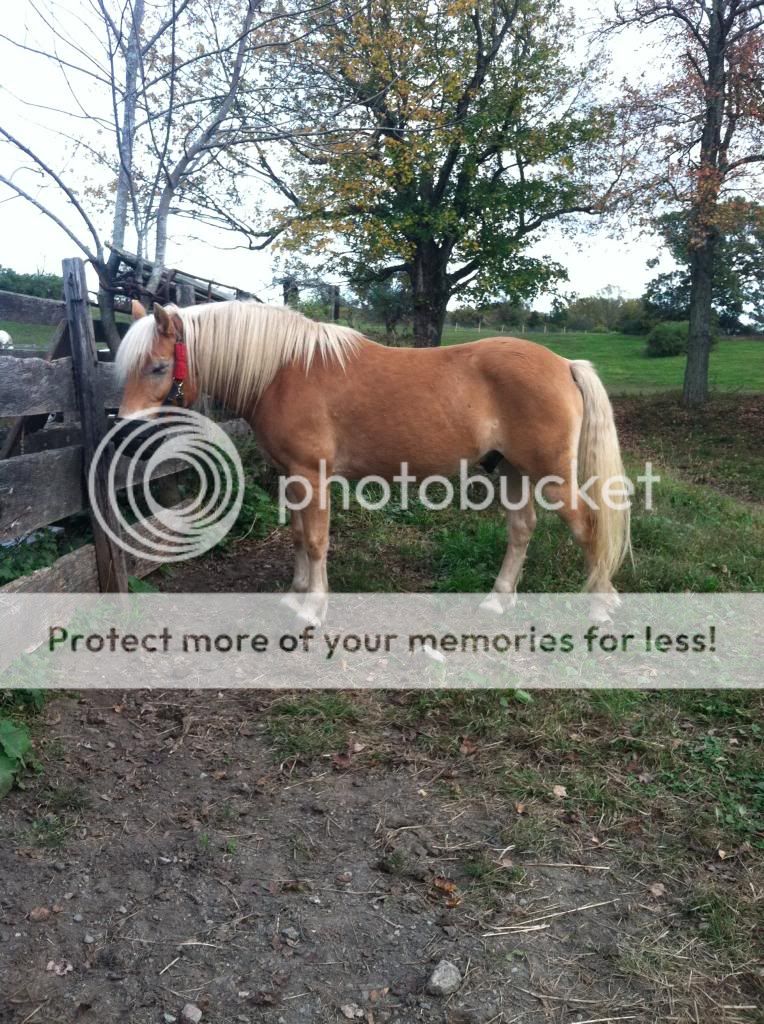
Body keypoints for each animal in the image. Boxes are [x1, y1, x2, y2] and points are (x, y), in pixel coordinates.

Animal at [116, 301, 631, 623]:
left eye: (158, 367)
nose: (126, 428)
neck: (282, 371)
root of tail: (563, 364)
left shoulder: (312, 477)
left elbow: (317, 541)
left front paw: (312, 609)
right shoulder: (291, 477)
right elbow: (298, 536)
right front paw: (295, 595)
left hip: (552, 477)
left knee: (588, 528)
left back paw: (600, 607)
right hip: (511, 471)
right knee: (522, 531)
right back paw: (497, 601)